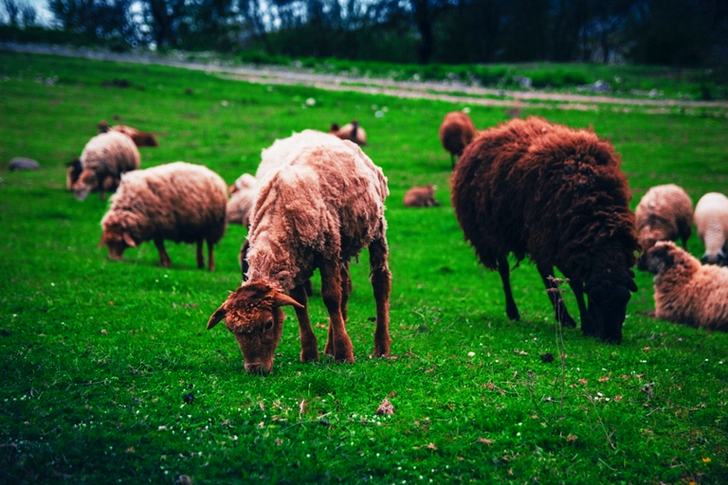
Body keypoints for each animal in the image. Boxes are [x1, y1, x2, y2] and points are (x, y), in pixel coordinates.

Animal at [99, 162, 227, 270]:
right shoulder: (155, 227)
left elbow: (159, 244)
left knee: (210, 245)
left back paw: (211, 266)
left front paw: (165, 262)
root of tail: (211, 174)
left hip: (213, 225)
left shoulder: (160, 223)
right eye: (108, 242)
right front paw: (164, 262)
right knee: (200, 241)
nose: (113, 259)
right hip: (199, 223)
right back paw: (200, 262)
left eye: (118, 241)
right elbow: (158, 244)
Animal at [206, 136, 391, 374]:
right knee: (345, 289)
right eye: (231, 329)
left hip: (375, 227)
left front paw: (344, 354)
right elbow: (299, 303)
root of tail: (341, 142)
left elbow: (331, 298)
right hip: (341, 244)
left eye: (268, 324)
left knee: (380, 282)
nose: (255, 369)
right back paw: (329, 349)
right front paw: (311, 354)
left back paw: (381, 348)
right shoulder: (293, 263)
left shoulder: (327, 253)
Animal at [451, 116, 639, 343]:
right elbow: (576, 286)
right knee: (507, 271)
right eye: (595, 300)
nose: (611, 339)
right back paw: (517, 312)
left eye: (625, 299)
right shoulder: (557, 238)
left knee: (543, 271)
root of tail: (491, 132)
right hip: (499, 233)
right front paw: (587, 325)